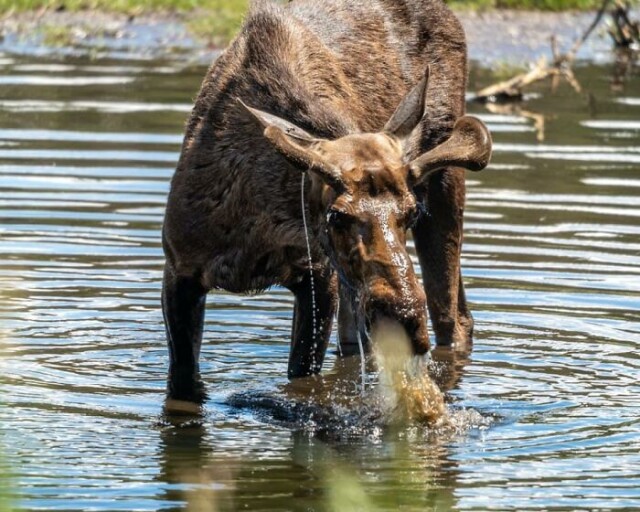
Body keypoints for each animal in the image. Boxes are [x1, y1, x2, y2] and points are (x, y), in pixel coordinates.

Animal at [162, 0, 492, 400]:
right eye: (336, 216)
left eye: (411, 213)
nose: (405, 317)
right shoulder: (179, 269)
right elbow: (182, 382)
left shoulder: (318, 275)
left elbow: (301, 374)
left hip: (445, 182)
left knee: (452, 319)